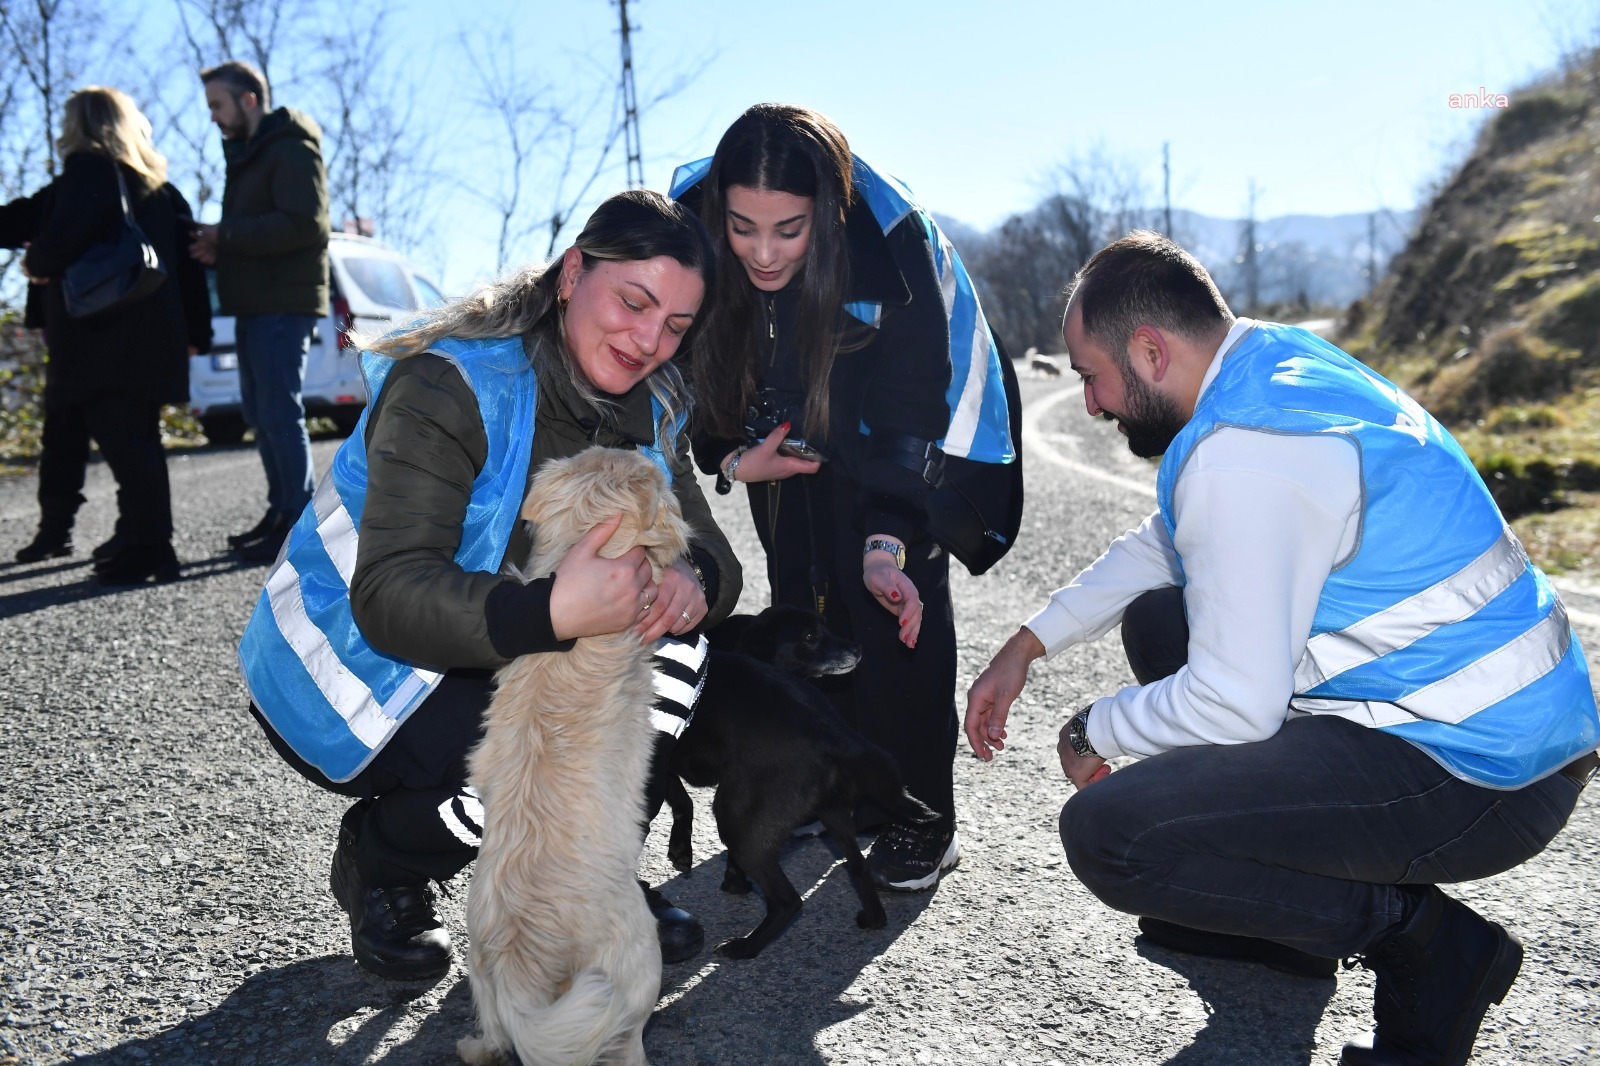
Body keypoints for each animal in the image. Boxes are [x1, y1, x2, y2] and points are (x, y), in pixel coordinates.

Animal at [662, 601, 934, 960]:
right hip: (831, 811)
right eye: (810, 636)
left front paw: (683, 852)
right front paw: (732, 879)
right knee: (858, 866)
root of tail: (830, 729)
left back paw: (745, 947)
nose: (858, 648)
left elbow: (681, 800)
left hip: (735, 814)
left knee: (787, 900)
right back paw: (873, 918)